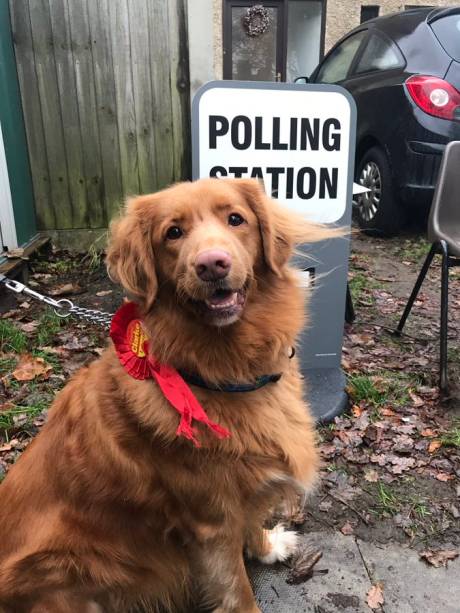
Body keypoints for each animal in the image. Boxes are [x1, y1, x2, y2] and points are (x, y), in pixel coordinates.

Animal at [0, 178, 338, 612]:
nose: (212, 264)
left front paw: (266, 547)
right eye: (173, 233)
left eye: (236, 219)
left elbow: (252, 522)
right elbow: (237, 589)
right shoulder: (211, 523)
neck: (222, 370)